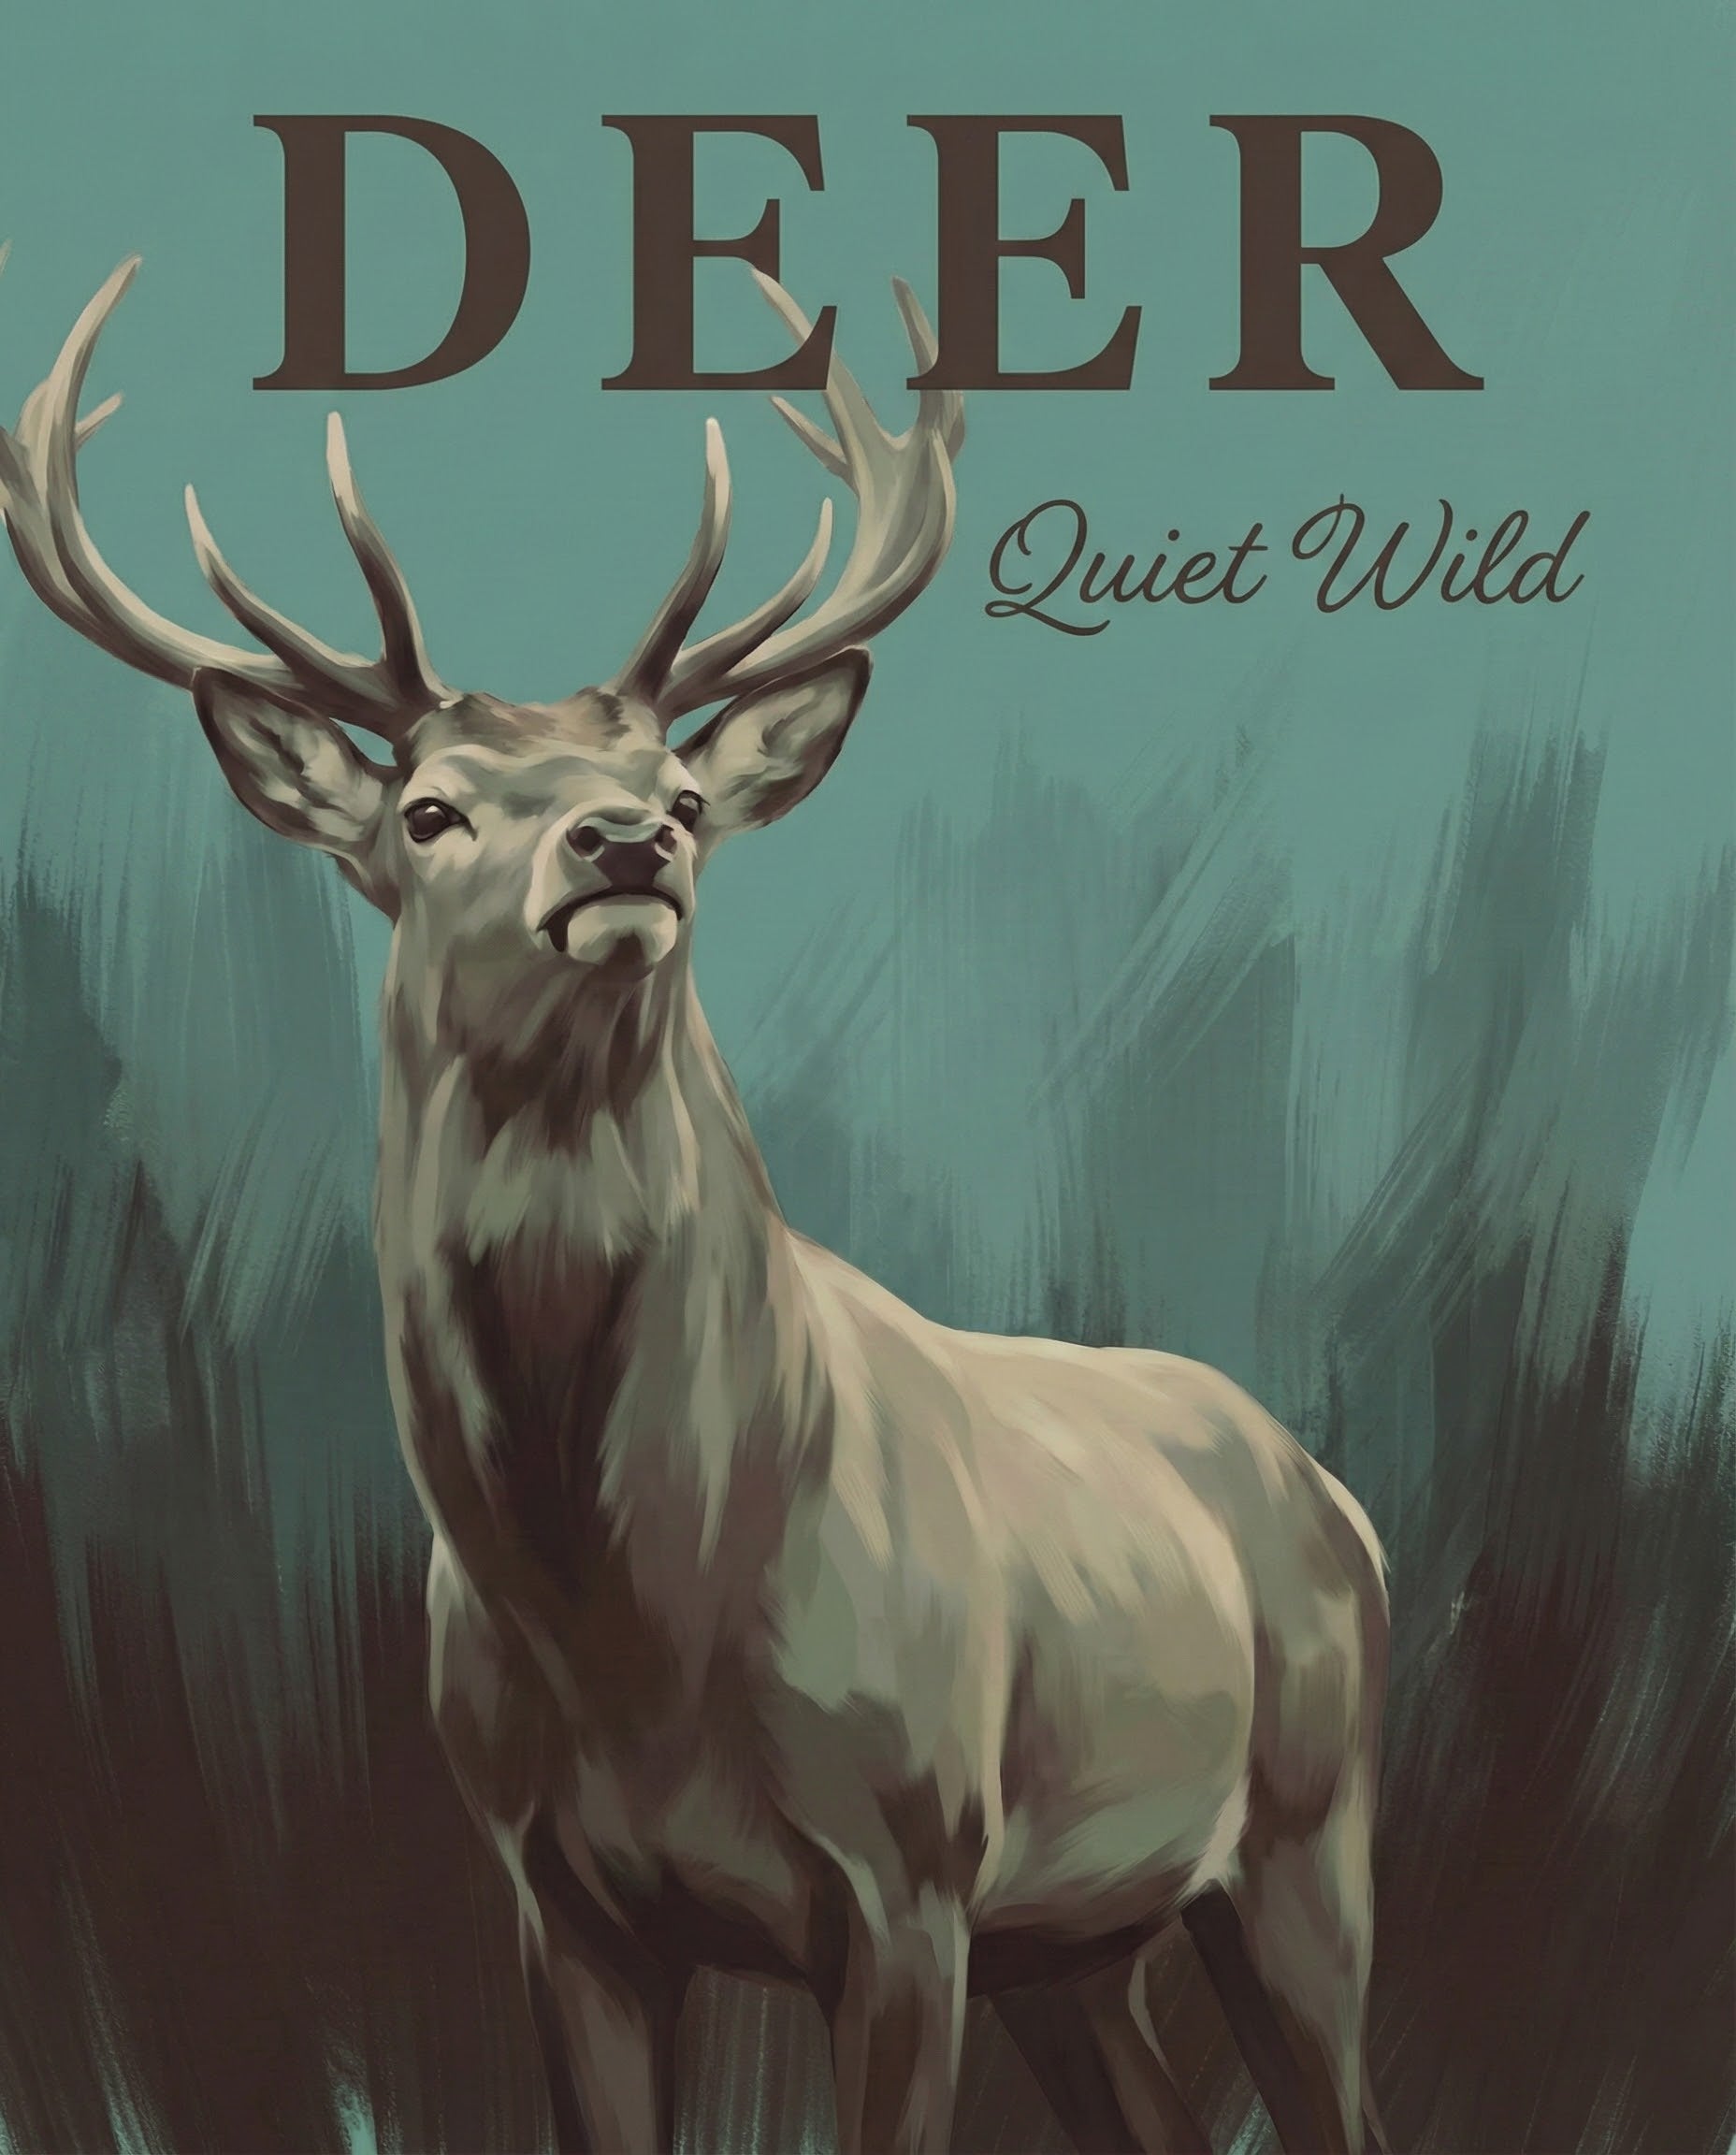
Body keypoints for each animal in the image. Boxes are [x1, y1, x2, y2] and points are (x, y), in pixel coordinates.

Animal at [0, 247, 1393, 2155]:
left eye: (679, 791)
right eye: (426, 809)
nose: (620, 845)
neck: (635, 1629)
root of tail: (1346, 1502)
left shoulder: (910, 1868)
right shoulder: (557, 1893)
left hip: (1303, 1832)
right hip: (1076, 1939)